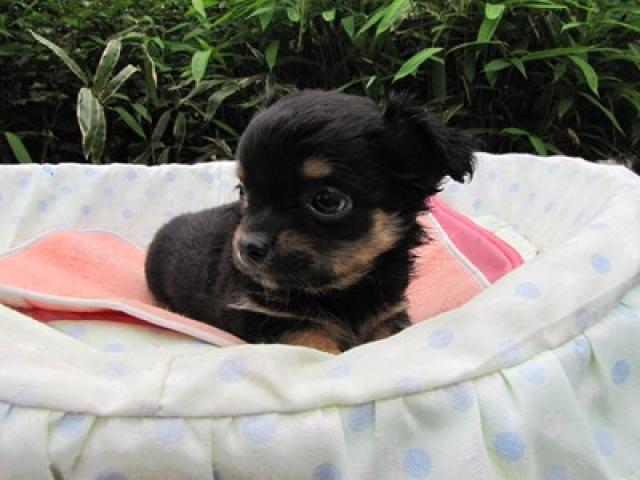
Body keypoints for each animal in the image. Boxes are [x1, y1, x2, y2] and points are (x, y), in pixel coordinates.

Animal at [145, 90, 474, 353]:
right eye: (244, 193)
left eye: (327, 200)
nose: (247, 247)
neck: (344, 290)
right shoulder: (268, 317)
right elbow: (313, 339)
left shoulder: (389, 315)